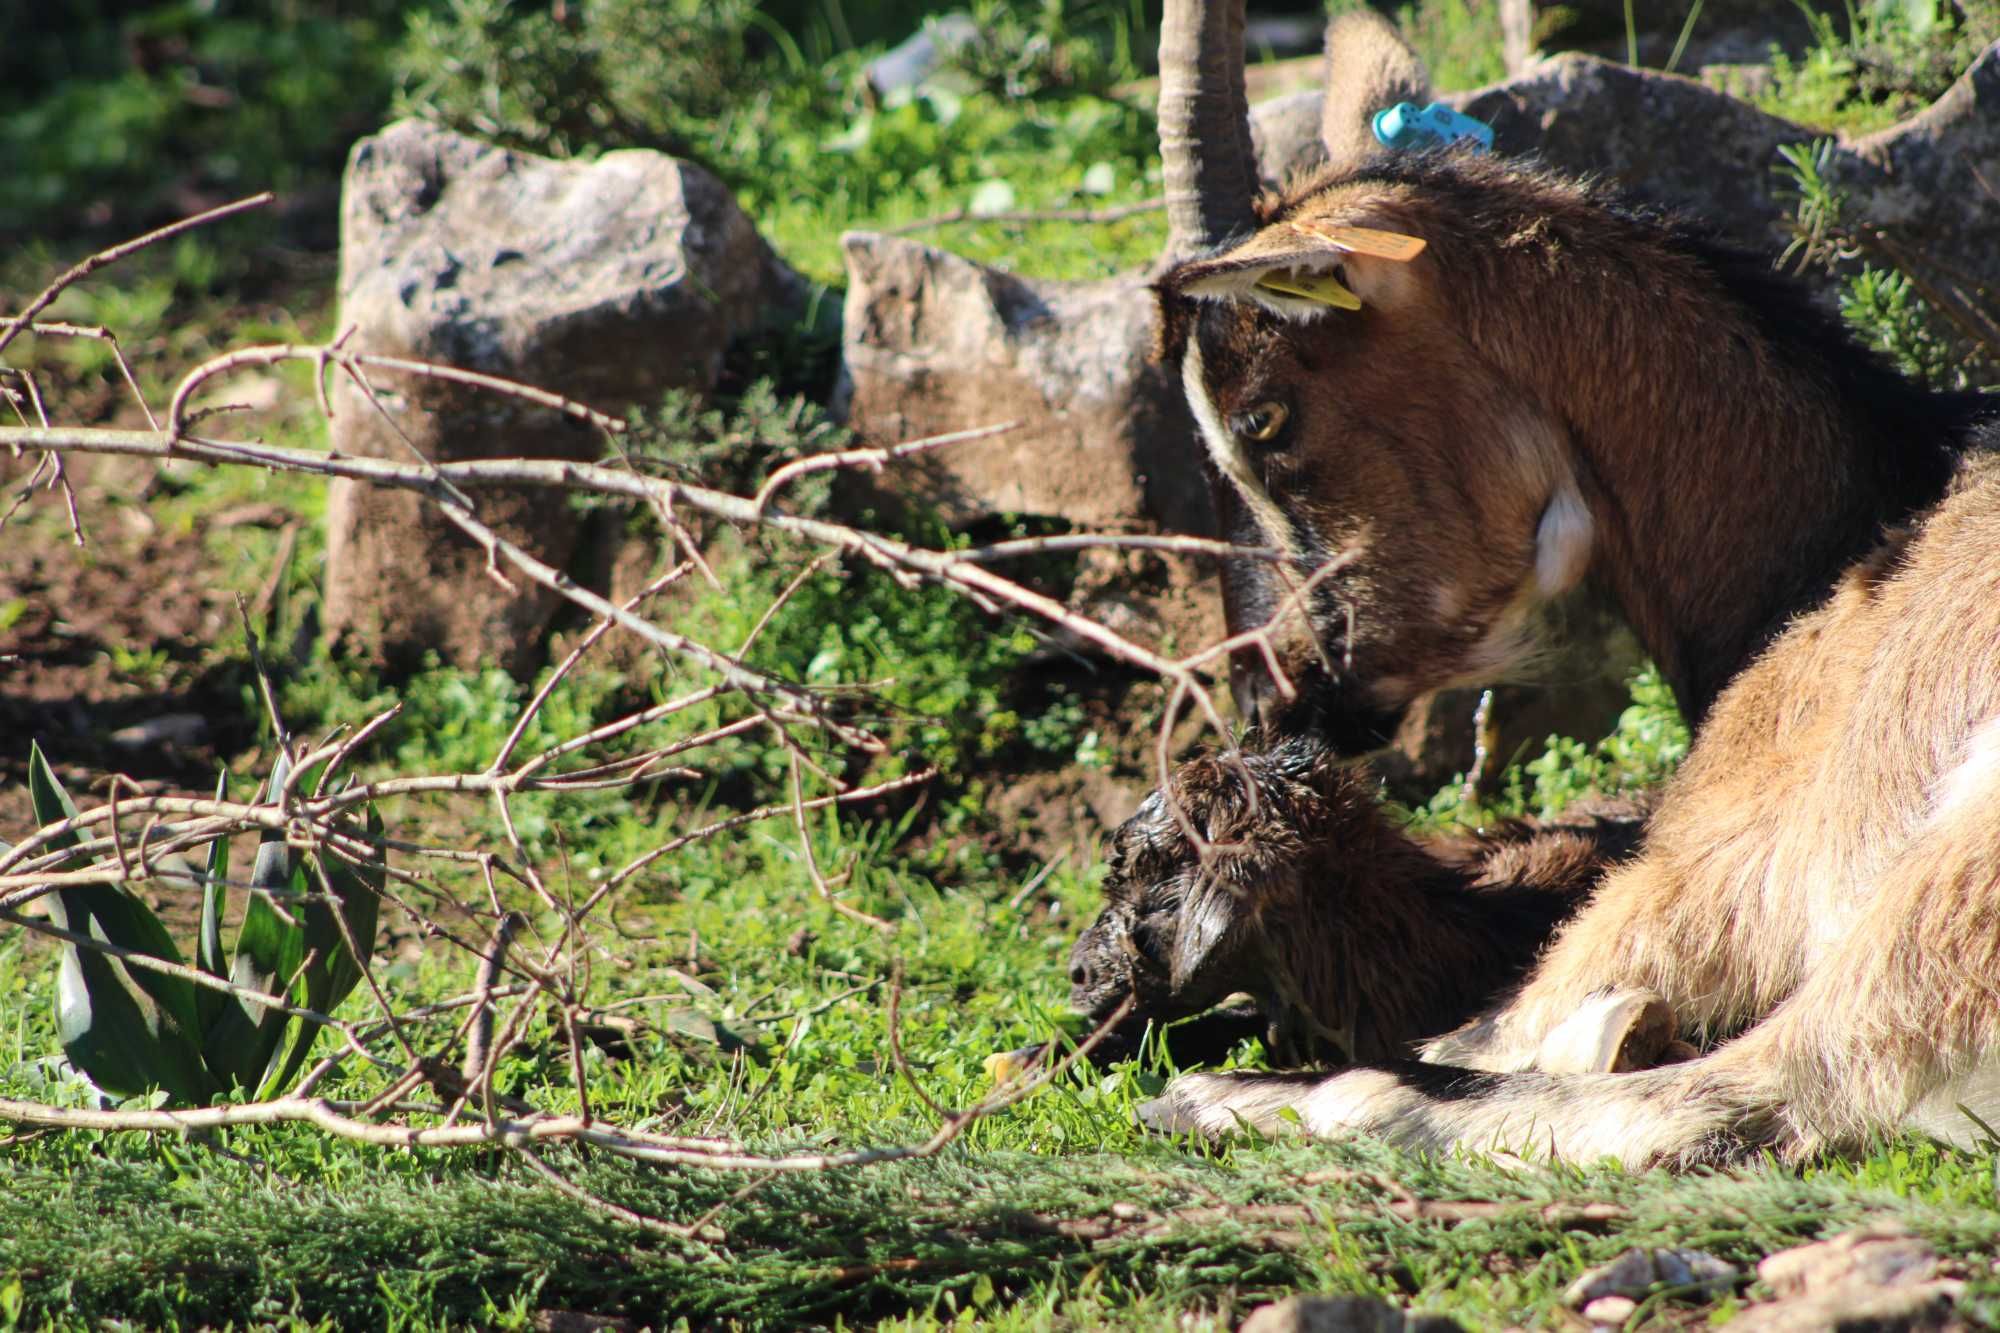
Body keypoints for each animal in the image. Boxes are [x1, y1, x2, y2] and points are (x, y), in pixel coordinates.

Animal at [1136, 2, 2000, 1160]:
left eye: (1260, 417)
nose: (1286, 698)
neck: (1860, 514)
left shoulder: (1711, 854)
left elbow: (1500, 1022)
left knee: (1725, 1094)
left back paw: (1236, 1096)